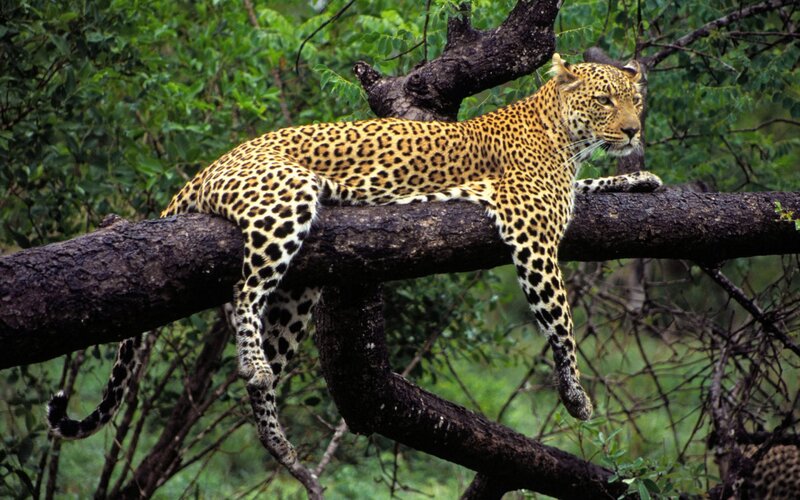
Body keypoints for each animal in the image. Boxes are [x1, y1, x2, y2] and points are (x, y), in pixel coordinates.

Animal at [47, 53, 662, 477]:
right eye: (605, 102)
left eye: (636, 101)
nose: (634, 130)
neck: (563, 132)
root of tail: (209, 166)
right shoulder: (531, 229)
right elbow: (562, 321)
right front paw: (575, 394)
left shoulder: (560, 198)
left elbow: (592, 188)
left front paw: (641, 178)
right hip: (285, 201)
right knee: (244, 292)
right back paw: (254, 364)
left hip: (298, 293)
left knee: (265, 348)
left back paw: (277, 441)